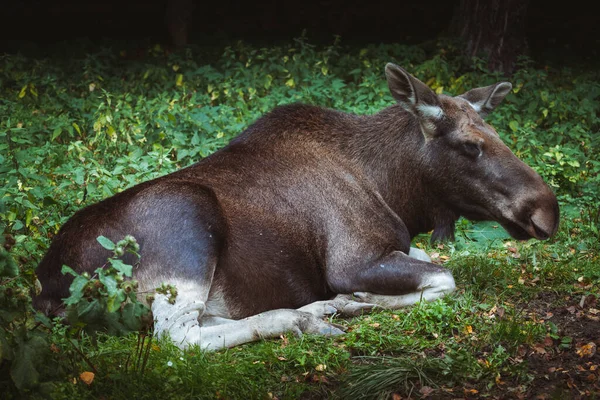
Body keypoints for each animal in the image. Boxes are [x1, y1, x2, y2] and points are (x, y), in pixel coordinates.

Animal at [34, 63, 556, 350]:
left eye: (498, 134)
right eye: (470, 145)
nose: (546, 212)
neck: (395, 191)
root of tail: (48, 288)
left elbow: (432, 261)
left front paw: (351, 301)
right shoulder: (353, 259)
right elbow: (446, 276)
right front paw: (359, 299)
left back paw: (320, 310)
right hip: (186, 224)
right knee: (180, 338)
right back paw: (306, 317)